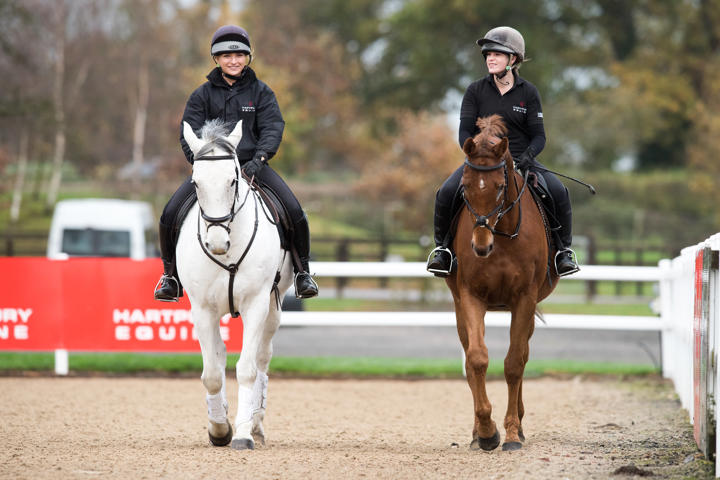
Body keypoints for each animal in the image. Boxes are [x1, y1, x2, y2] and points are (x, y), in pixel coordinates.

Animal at [177, 118, 292, 448]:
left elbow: (248, 370)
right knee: (219, 354)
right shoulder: (202, 309)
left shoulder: (256, 305)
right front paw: (219, 428)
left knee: (263, 358)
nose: (217, 242)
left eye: (233, 180)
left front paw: (241, 432)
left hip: (274, 306)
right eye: (195, 183)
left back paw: (256, 424)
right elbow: (212, 373)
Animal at [448, 114, 560, 452]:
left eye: (500, 187)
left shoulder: (524, 299)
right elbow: (477, 360)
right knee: (471, 360)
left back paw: (519, 428)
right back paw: (477, 434)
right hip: (459, 306)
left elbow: (513, 364)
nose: (480, 246)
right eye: (465, 187)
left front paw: (510, 434)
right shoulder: (471, 297)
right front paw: (487, 433)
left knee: (522, 355)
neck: (502, 235)